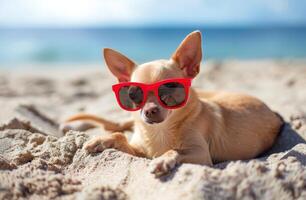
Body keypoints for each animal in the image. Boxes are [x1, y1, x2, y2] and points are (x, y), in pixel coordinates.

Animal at [62, 30, 284, 176]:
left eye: (170, 88)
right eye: (133, 94)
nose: (150, 111)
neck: (159, 132)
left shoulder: (202, 155)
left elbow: (174, 150)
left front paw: (163, 159)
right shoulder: (139, 151)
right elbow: (120, 136)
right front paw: (100, 140)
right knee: (119, 125)